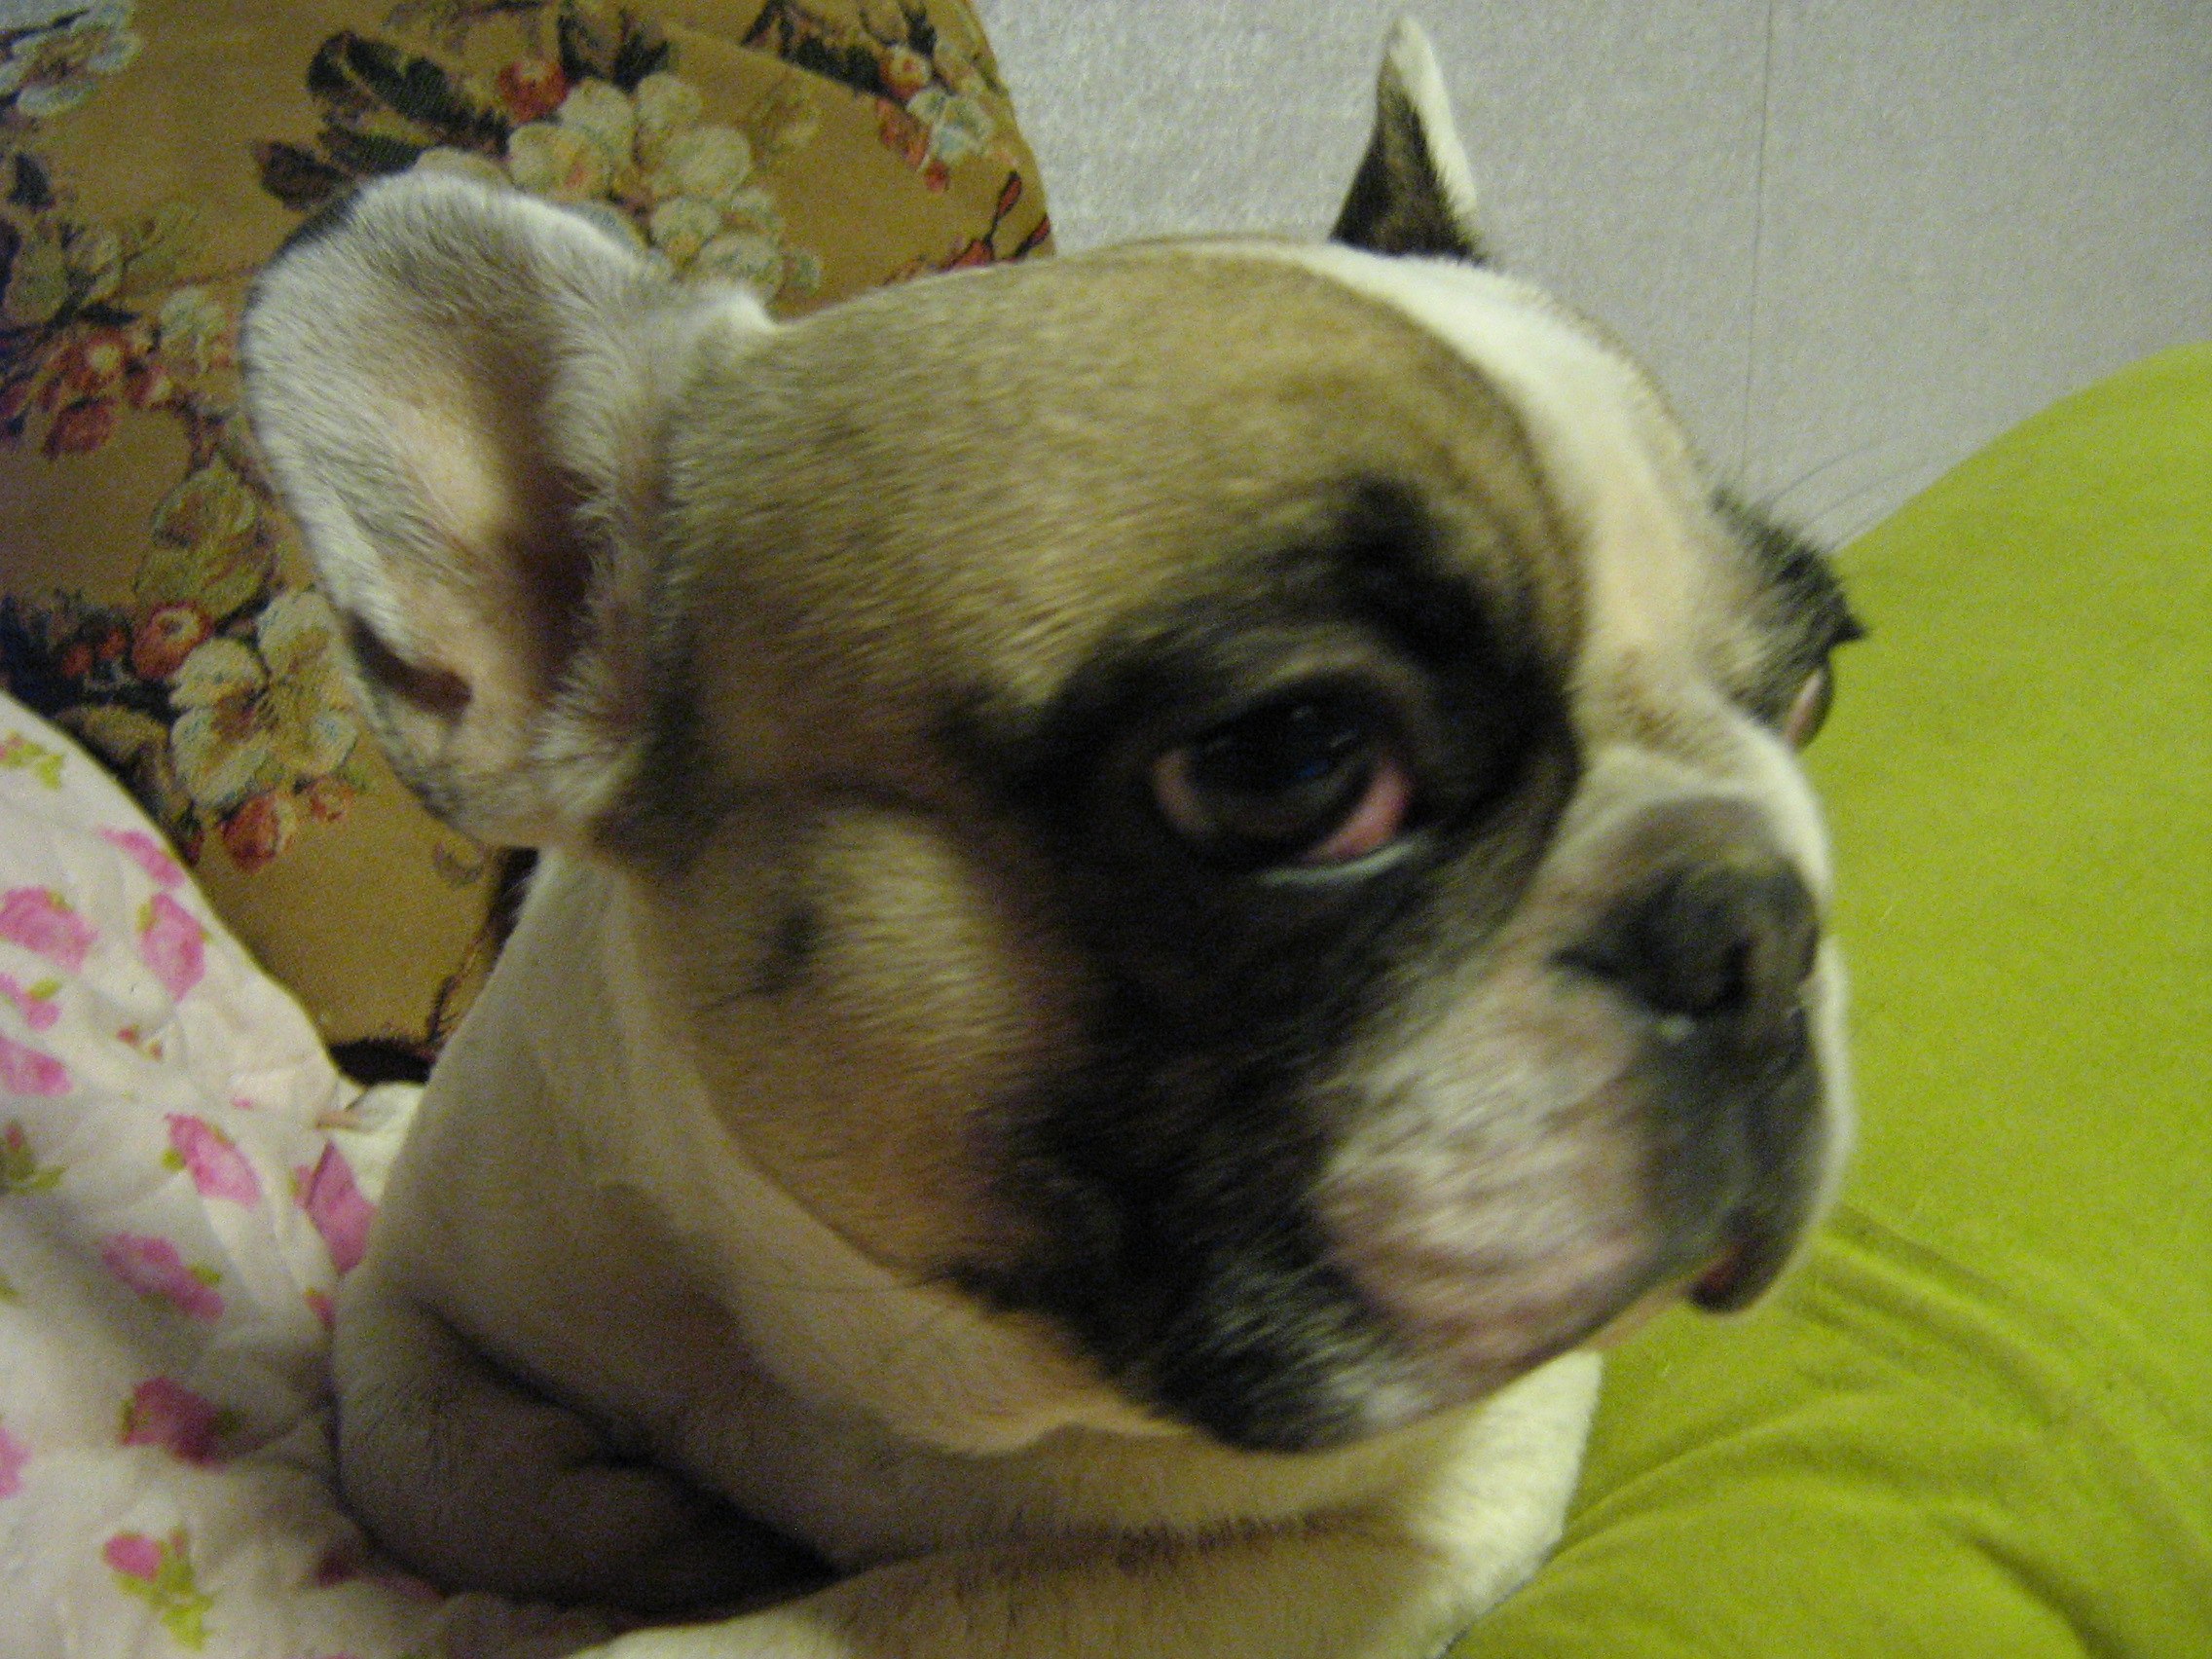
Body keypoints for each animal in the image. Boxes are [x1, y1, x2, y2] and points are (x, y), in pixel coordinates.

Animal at [240, 21, 1857, 1659]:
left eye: (1812, 687)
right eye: (1299, 760)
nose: (1762, 923)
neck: (899, 1355)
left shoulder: (1427, 1508)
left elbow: (938, 1603)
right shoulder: (422, 1283)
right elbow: (416, 1458)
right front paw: (669, 1530)